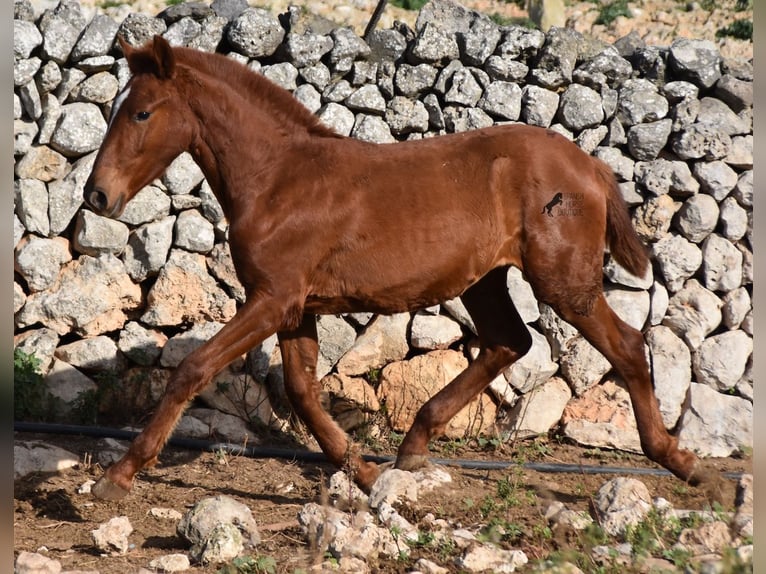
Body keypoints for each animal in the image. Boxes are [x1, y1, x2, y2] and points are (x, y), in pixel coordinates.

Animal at [82, 36, 708, 502]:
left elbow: (193, 369)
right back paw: (412, 447)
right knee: (510, 341)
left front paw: (119, 474)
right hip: (485, 280)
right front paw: (362, 471)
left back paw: (684, 465)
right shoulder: (294, 306)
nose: (96, 196)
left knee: (625, 346)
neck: (278, 179)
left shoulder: (272, 299)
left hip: (563, 283)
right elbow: (302, 390)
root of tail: (591, 166)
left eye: (141, 112)